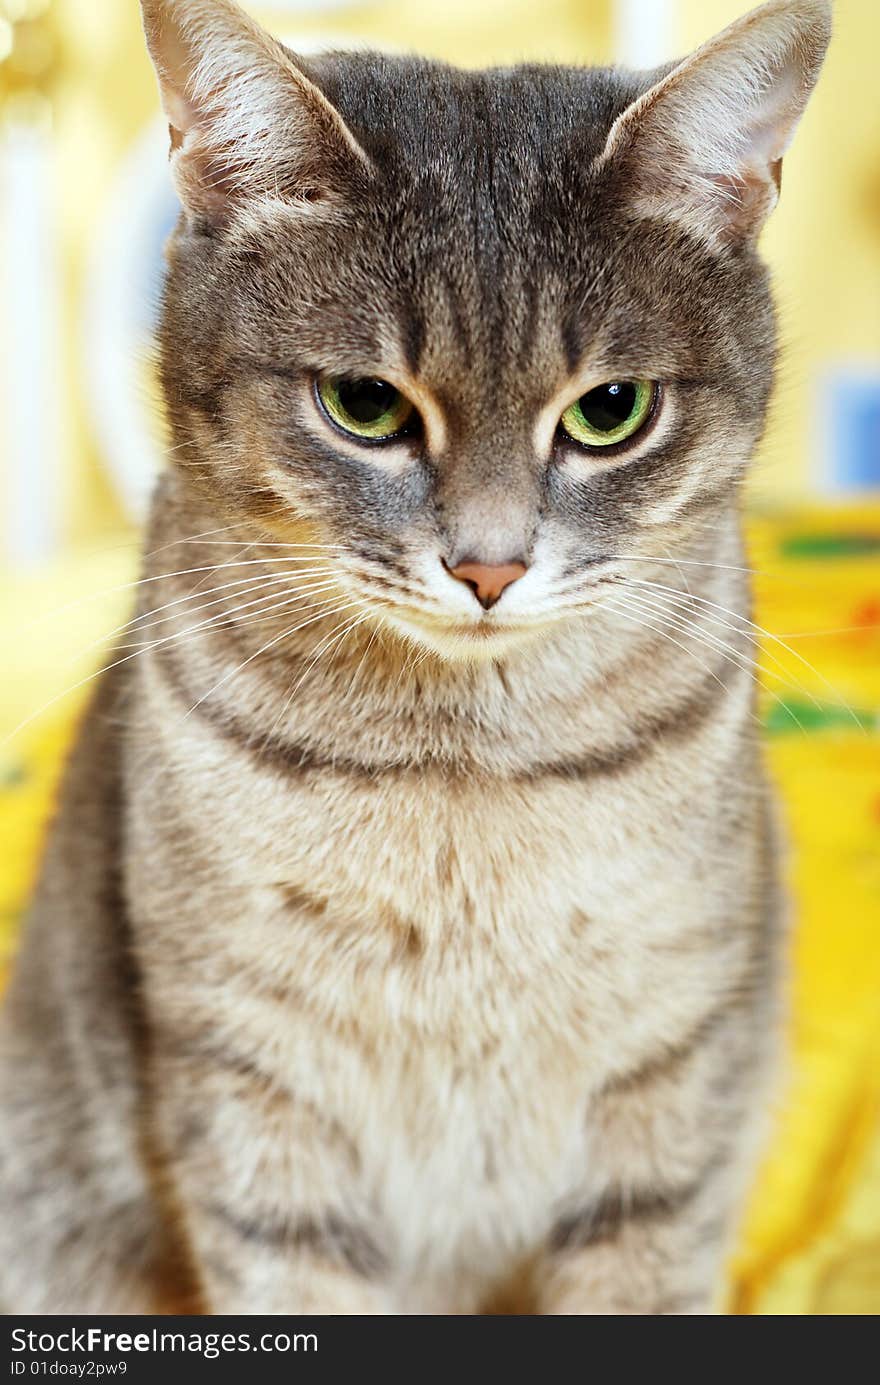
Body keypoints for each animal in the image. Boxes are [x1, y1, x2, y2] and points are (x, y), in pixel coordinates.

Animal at [0, 0, 831, 1312]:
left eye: (610, 411)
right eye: (363, 403)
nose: (487, 567)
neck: (463, 777)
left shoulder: (671, 1079)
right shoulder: (254, 1082)